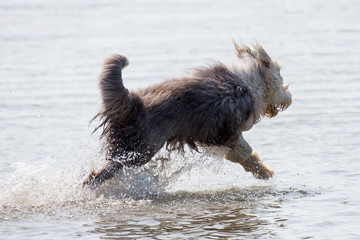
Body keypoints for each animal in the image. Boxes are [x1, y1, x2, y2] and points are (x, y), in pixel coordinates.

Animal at [83, 40, 292, 188]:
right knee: (97, 175)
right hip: (140, 149)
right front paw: (260, 169)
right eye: (280, 74)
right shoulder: (224, 130)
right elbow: (243, 151)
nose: (289, 97)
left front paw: (262, 171)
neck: (246, 84)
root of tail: (133, 103)